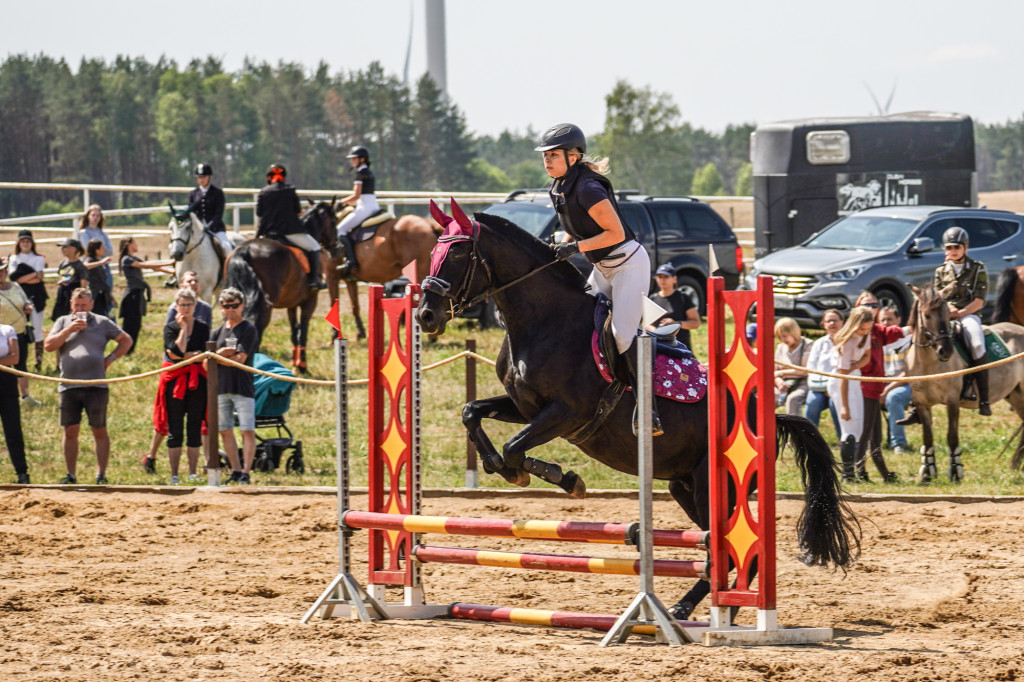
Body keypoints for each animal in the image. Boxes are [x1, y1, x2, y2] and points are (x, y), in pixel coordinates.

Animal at [226, 200, 337, 372]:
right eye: (334, 221)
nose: (335, 246)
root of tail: (245, 249)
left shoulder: (292, 303)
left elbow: (294, 331)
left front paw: (295, 362)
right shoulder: (309, 301)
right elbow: (302, 331)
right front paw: (302, 366)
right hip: (265, 306)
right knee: (257, 329)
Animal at [327, 209, 440, 337]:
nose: (333, 250)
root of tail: (431, 225)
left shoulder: (331, 276)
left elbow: (333, 303)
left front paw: (334, 335)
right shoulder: (349, 279)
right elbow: (355, 306)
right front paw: (360, 332)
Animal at [415, 199, 864, 618]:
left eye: (458, 253)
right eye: (433, 250)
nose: (425, 315)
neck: (545, 321)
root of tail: (768, 416)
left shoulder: (566, 414)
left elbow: (514, 447)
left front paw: (558, 477)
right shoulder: (526, 408)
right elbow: (473, 413)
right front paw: (508, 469)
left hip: (715, 487)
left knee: (732, 553)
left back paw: (712, 613)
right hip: (685, 487)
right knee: (720, 549)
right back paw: (696, 610)